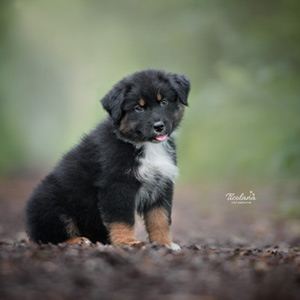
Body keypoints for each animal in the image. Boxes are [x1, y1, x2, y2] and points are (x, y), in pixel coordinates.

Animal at [25, 69, 190, 250]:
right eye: (138, 108)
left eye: (164, 102)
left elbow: (160, 218)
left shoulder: (162, 183)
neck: (142, 144)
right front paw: (128, 242)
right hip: (53, 204)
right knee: (49, 236)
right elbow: (122, 219)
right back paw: (79, 240)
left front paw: (164, 243)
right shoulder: (117, 185)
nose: (159, 126)